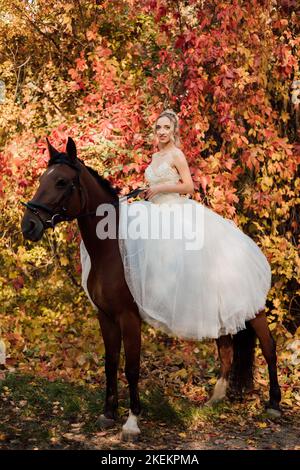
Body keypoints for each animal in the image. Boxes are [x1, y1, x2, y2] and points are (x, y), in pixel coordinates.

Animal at [20, 137, 282, 440]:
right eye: (43, 178)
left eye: (62, 182)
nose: (28, 225)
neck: (112, 249)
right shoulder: (105, 316)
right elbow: (110, 363)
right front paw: (108, 413)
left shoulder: (129, 317)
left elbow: (132, 367)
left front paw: (132, 422)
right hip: (221, 313)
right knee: (226, 349)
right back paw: (214, 400)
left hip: (254, 310)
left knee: (269, 347)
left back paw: (274, 404)